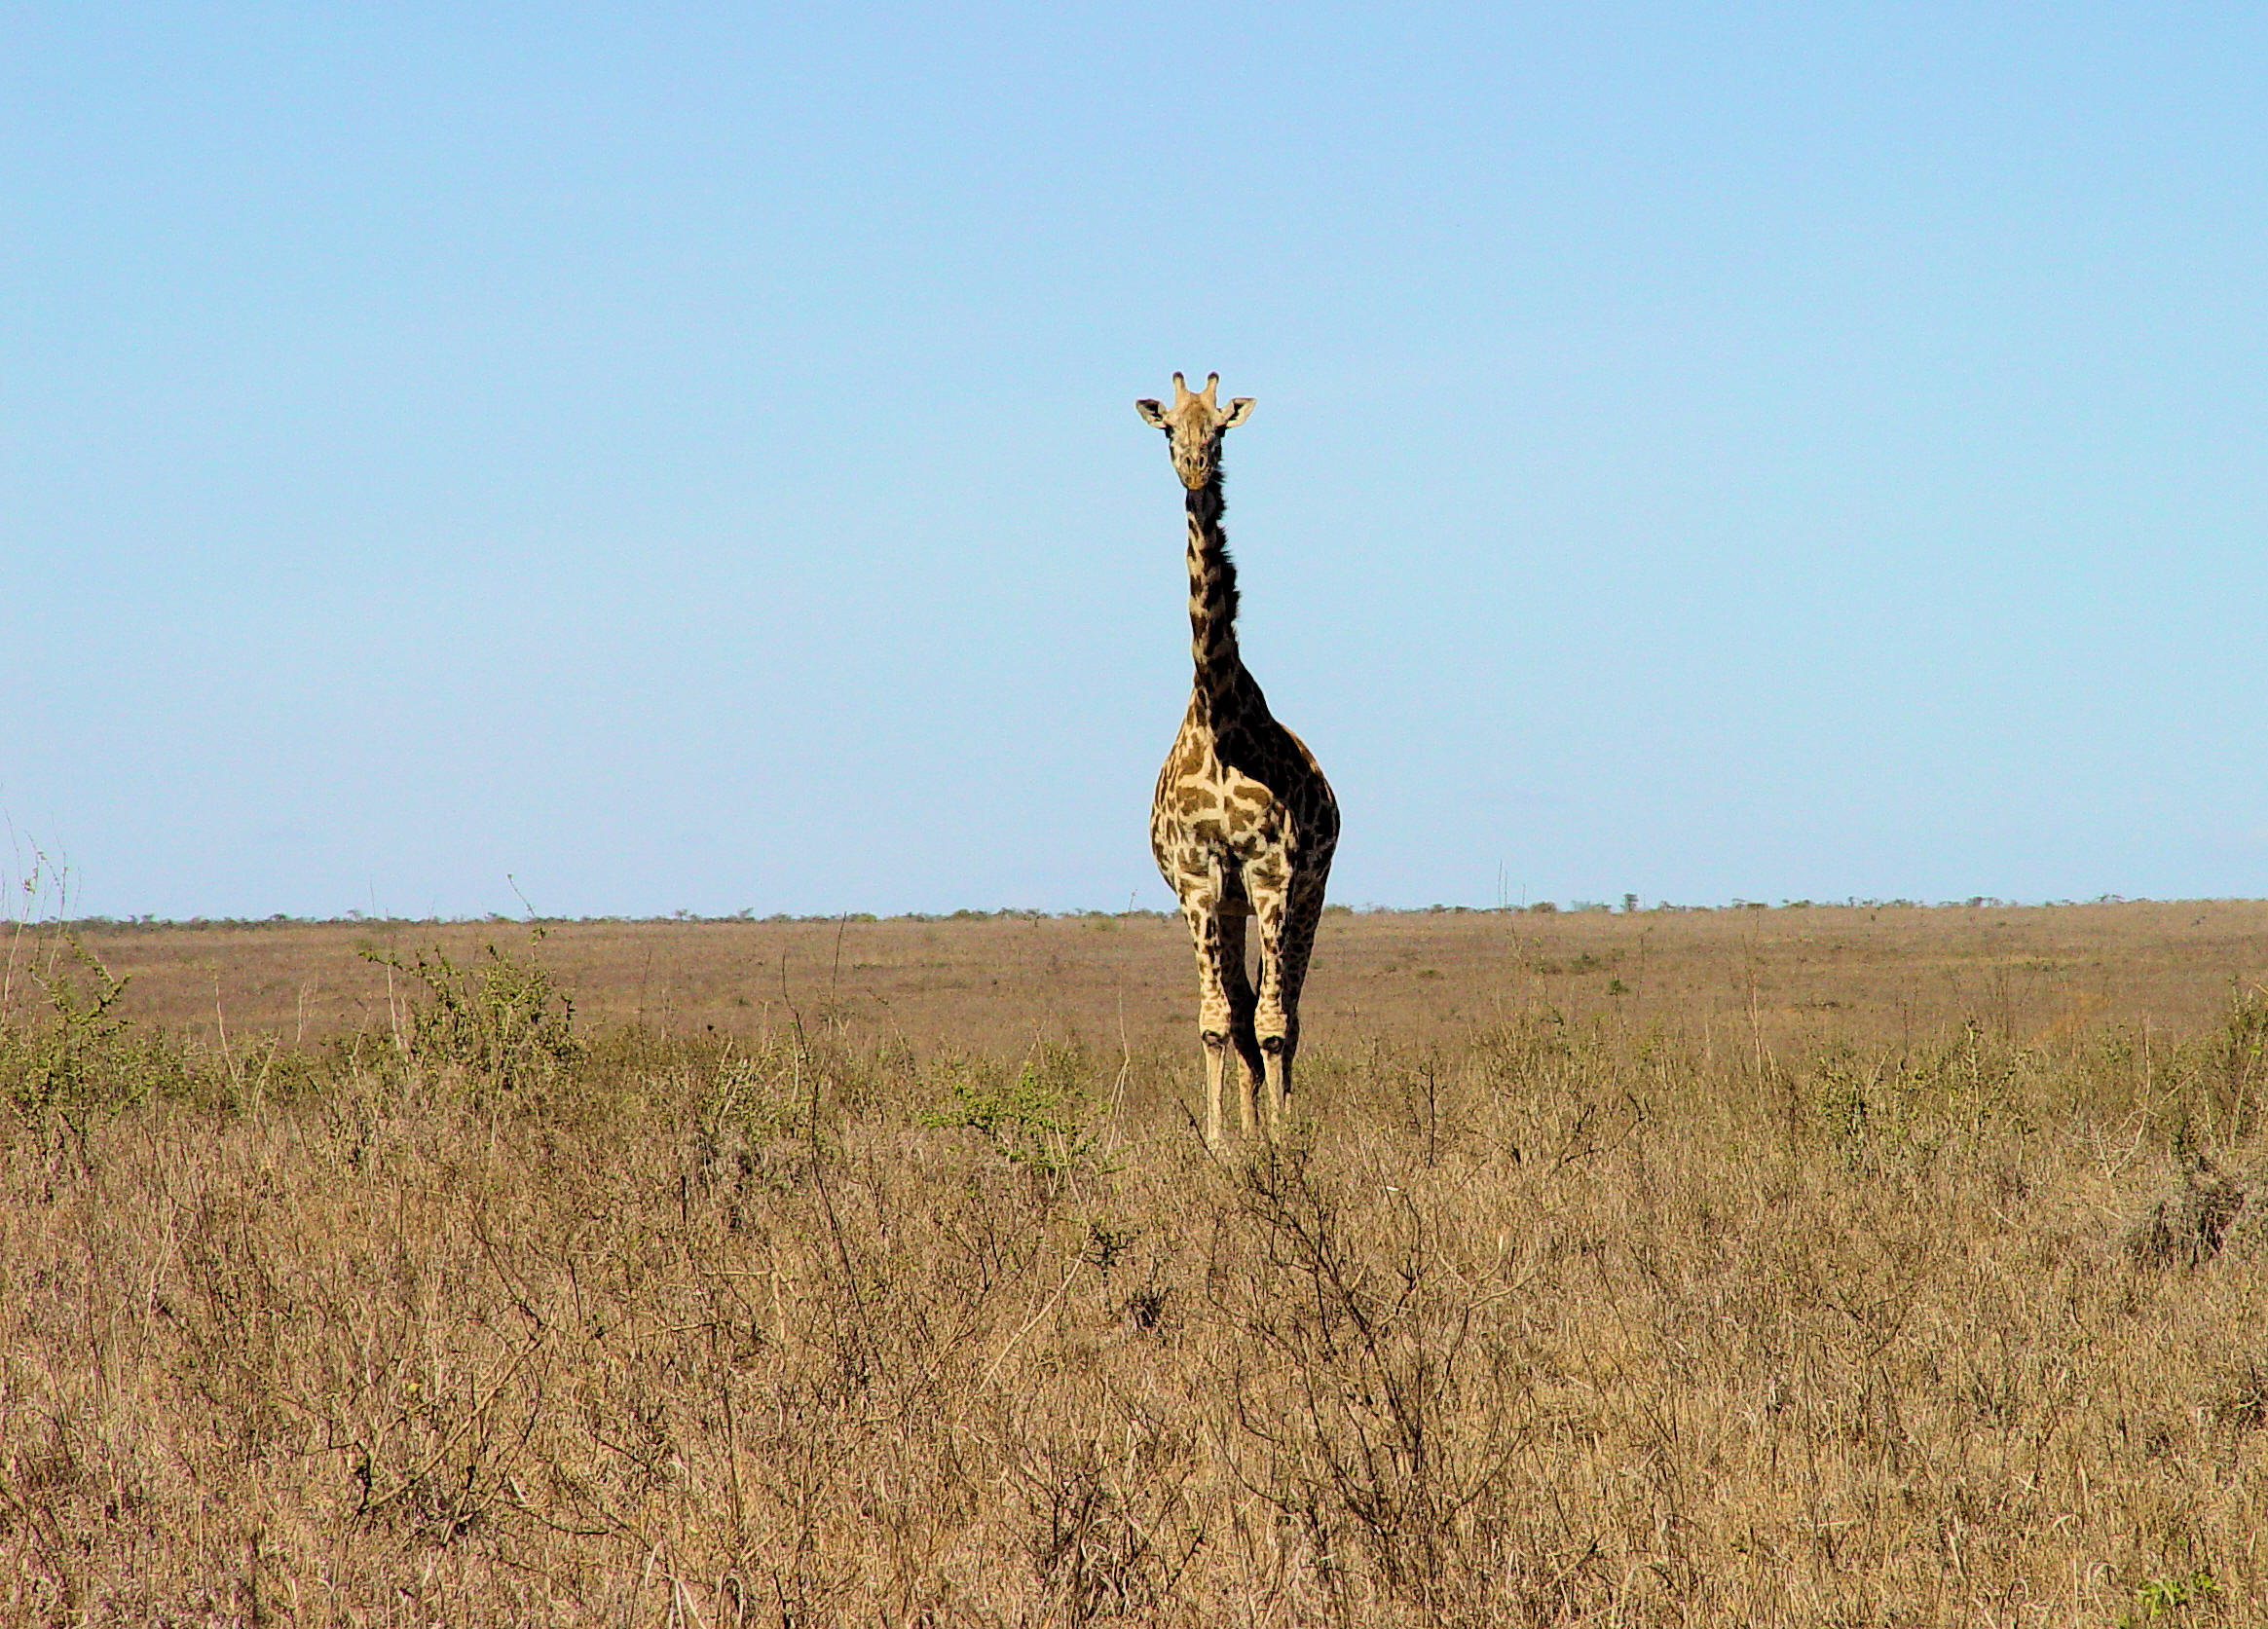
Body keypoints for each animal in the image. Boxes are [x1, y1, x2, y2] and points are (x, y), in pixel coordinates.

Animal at [1136, 372, 1339, 1146]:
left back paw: (1272, 1120)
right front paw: (1223, 1140)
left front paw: (1279, 1137)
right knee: (1244, 1005)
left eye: (1220, 426)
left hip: (1306, 892)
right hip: (1228, 904)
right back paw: (1248, 1121)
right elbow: (1220, 1019)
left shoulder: (1275, 872)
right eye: (1168, 426)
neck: (1219, 716)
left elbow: (1276, 1021)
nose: (1195, 466)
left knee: (1287, 1008)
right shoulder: (1200, 879)